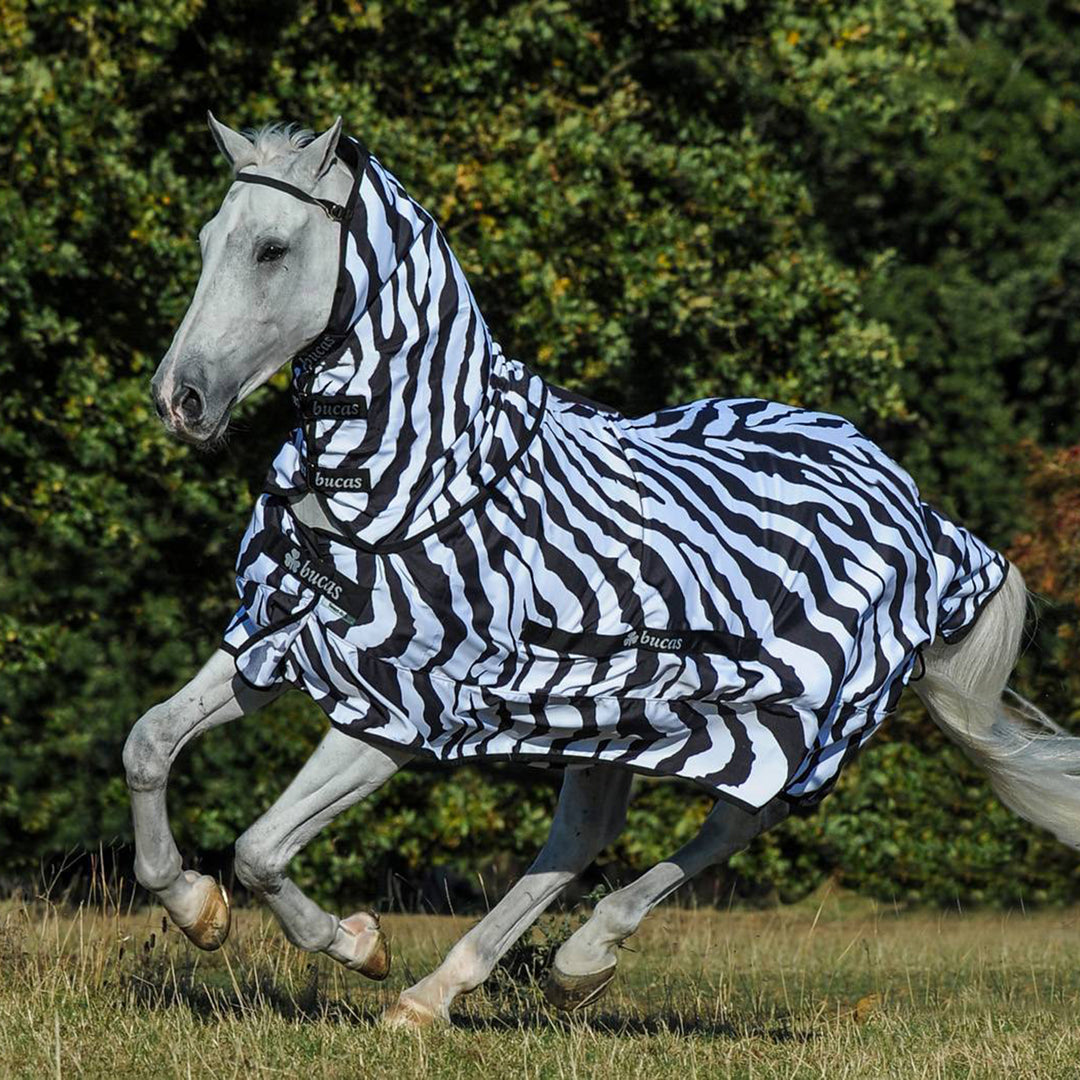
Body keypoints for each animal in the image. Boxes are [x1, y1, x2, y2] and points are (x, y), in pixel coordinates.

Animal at [125, 114, 1080, 1027]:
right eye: (208, 240)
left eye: (271, 249)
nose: (178, 400)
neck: (411, 475)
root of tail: (917, 508)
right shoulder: (280, 632)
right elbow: (148, 745)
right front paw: (195, 910)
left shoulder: (397, 703)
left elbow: (260, 849)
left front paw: (357, 944)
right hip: (613, 711)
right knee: (586, 834)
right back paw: (441, 994)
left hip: (787, 715)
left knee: (741, 815)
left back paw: (573, 959)